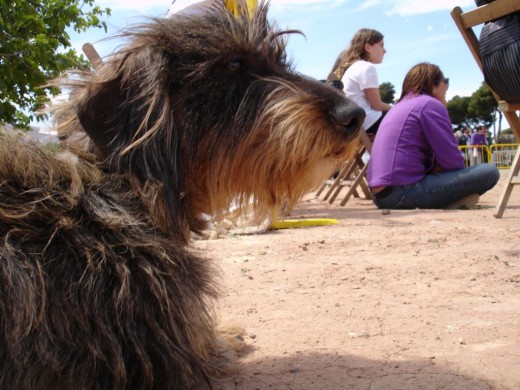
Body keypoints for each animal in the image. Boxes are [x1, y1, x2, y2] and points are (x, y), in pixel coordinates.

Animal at [0, 1, 364, 388]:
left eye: (280, 60)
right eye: (234, 64)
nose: (354, 115)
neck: (125, 192)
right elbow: (209, 344)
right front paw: (226, 332)